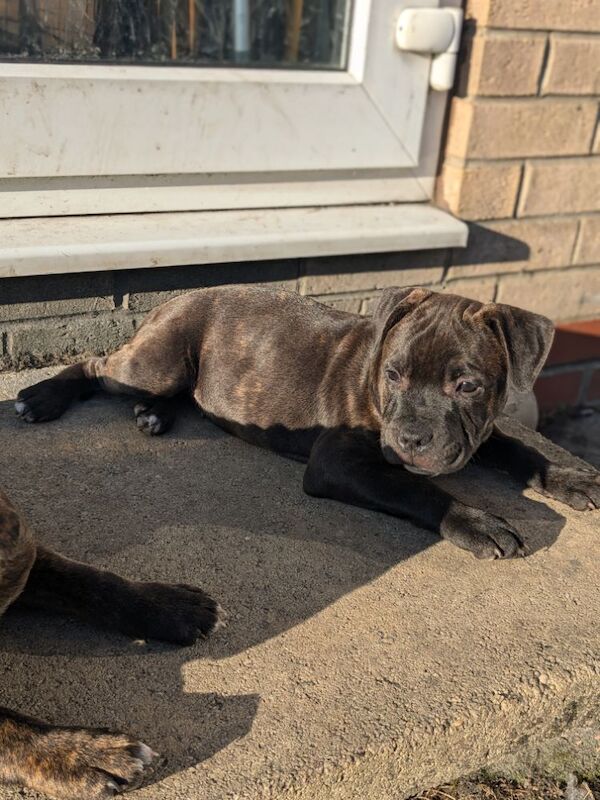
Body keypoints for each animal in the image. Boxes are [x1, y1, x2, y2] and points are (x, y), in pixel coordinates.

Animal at [14, 288, 600, 564]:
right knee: (96, 365)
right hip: (156, 362)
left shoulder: (478, 433)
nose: (409, 439)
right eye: (393, 375)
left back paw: (155, 414)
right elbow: (415, 489)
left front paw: (570, 478)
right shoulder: (338, 461)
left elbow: (520, 450)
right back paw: (43, 397)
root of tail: (172, 301)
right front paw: (476, 522)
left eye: (469, 386)